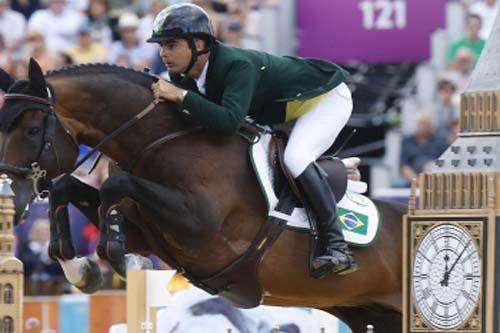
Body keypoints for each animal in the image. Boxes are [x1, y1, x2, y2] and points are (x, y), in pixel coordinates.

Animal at [0, 60, 406, 332]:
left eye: (33, 130)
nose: (13, 203)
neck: (157, 142)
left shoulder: (198, 227)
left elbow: (115, 189)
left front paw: (122, 260)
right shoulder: (147, 230)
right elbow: (69, 189)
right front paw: (82, 270)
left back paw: (335, 255)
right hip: (372, 314)